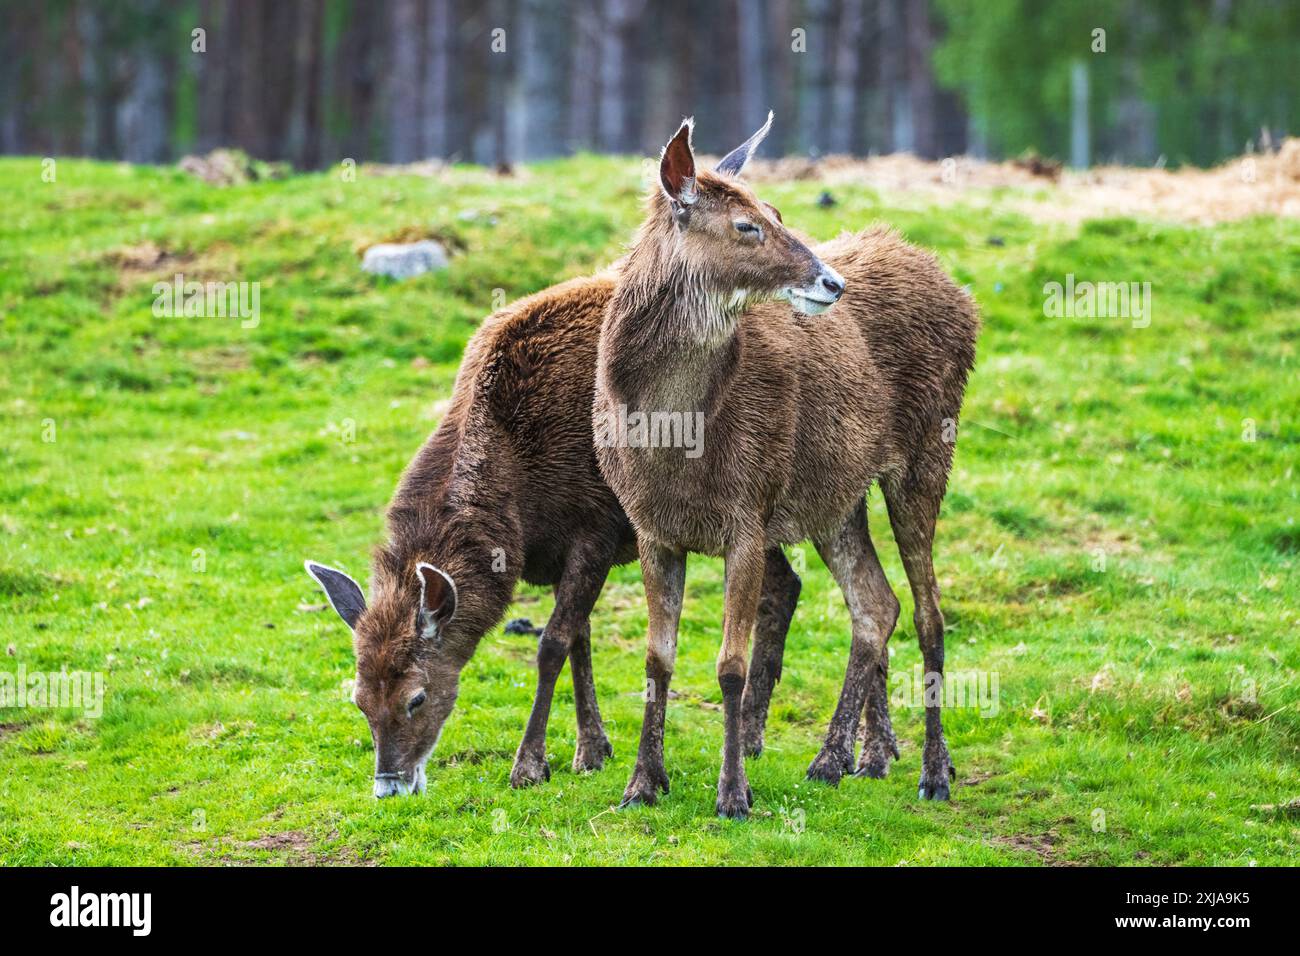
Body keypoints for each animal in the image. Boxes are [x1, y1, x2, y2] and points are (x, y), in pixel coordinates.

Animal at [303, 271, 805, 797]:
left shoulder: (597, 529)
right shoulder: (561, 552)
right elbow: (581, 637)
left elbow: (552, 644)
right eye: (358, 699)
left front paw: (530, 764)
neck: (519, 508)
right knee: (786, 582)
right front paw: (593, 749)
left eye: (416, 698)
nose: (389, 786)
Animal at [594, 114, 979, 818]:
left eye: (776, 210)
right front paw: (641, 784)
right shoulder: (652, 528)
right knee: (876, 603)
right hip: (836, 497)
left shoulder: (748, 512)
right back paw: (836, 760)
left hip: (926, 454)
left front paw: (733, 794)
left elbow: (730, 665)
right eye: (746, 225)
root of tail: (963, 296)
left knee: (930, 611)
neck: (673, 441)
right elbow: (657, 660)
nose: (832, 282)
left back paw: (934, 772)